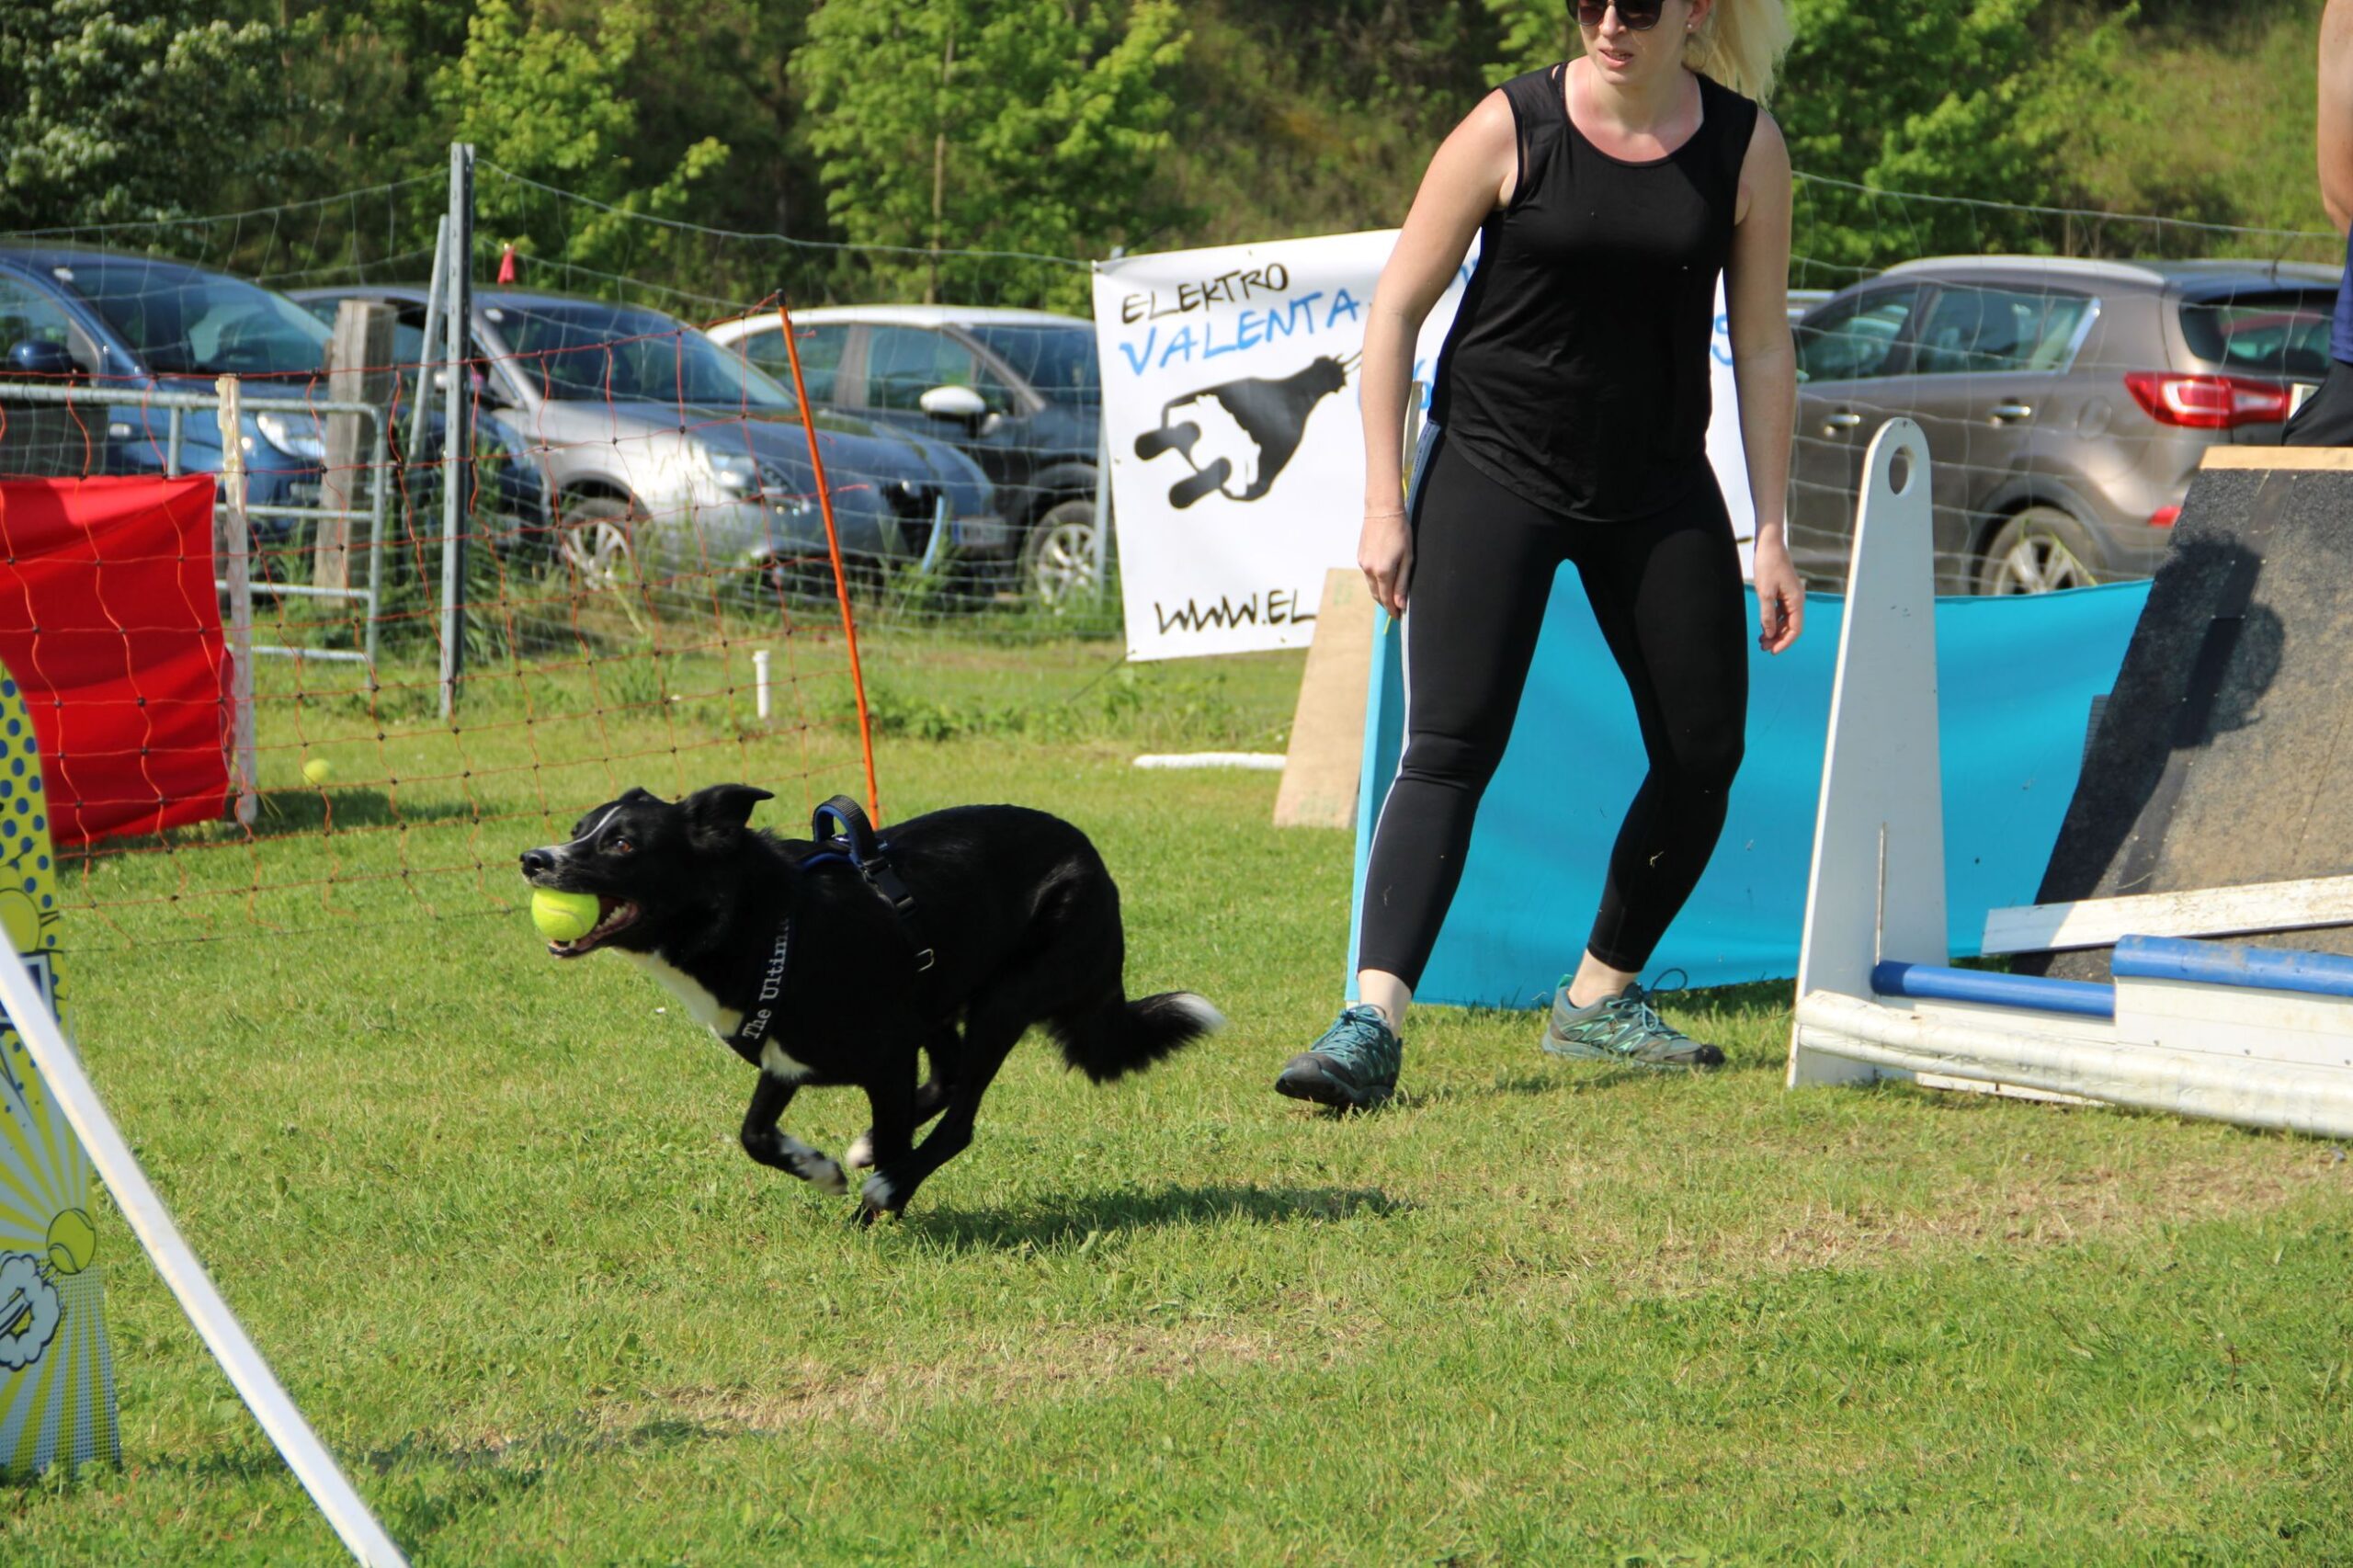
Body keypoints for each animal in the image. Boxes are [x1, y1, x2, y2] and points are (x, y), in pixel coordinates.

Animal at [518, 785, 1221, 1222]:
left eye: (622, 844)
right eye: (579, 831)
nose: (533, 859)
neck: (767, 923)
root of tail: (1095, 863)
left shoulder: (885, 1057)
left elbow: (892, 1134)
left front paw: (877, 1200)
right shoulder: (785, 1055)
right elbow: (754, 1134)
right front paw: (822, 1168)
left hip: (1006, 1000)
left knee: (960, 1117)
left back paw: (887, 1185)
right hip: (936, 995)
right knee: (947, 1075)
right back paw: (864, 1156)